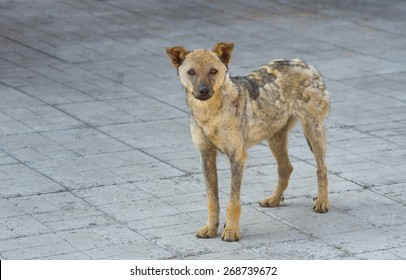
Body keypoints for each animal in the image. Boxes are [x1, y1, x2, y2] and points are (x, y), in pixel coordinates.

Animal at [165, 41, 330, 241]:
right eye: (191, 72)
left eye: (213, 71)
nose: (203, 91)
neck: (210, 114)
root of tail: (302, 63)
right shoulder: (206, 156)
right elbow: (212, 199)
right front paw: (211, 227)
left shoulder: (237, 157)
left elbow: (233, 201)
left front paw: (231, 231)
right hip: (274, 137)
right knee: (286, 168)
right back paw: (274, 200)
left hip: (313, 132)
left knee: (322, 169)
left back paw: (322, 202)